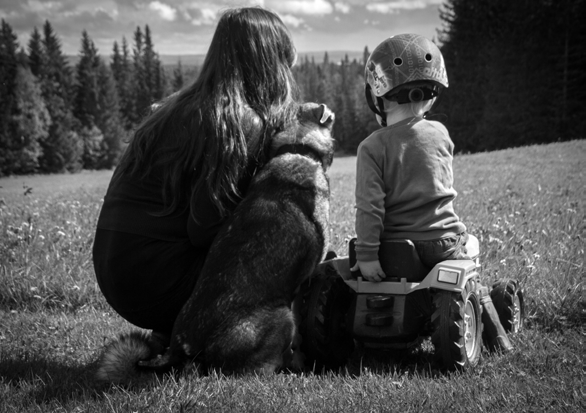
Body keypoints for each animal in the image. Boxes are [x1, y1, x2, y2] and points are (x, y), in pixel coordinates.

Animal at [95, 102, 334, 384]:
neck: (297, 147)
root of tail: (181, 348)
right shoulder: (306, 277)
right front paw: (301, 361)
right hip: (282, 317)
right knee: (258, 371)